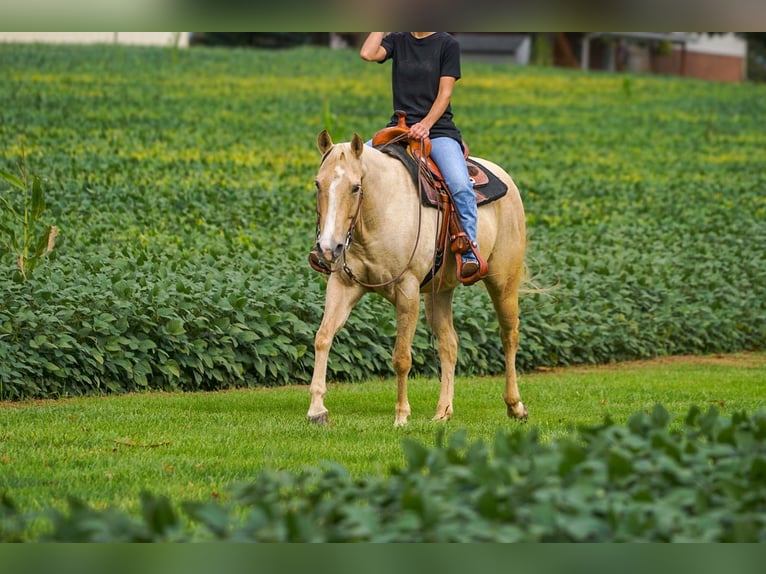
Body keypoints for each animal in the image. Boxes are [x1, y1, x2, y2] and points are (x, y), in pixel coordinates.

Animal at [307, 130, 527, 426]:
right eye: (318, 184)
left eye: (355, 187)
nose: (328, 248)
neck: (379, 215)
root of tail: (506, 179)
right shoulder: (342, 285)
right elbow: (323, 337)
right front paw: (317, 409)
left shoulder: (407, 290)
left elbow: (402, 357)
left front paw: (401, 415)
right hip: (439, 293)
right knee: (449, 344)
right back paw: (443, 411)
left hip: (503, 283)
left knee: (509, 336)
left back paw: (515, 405)